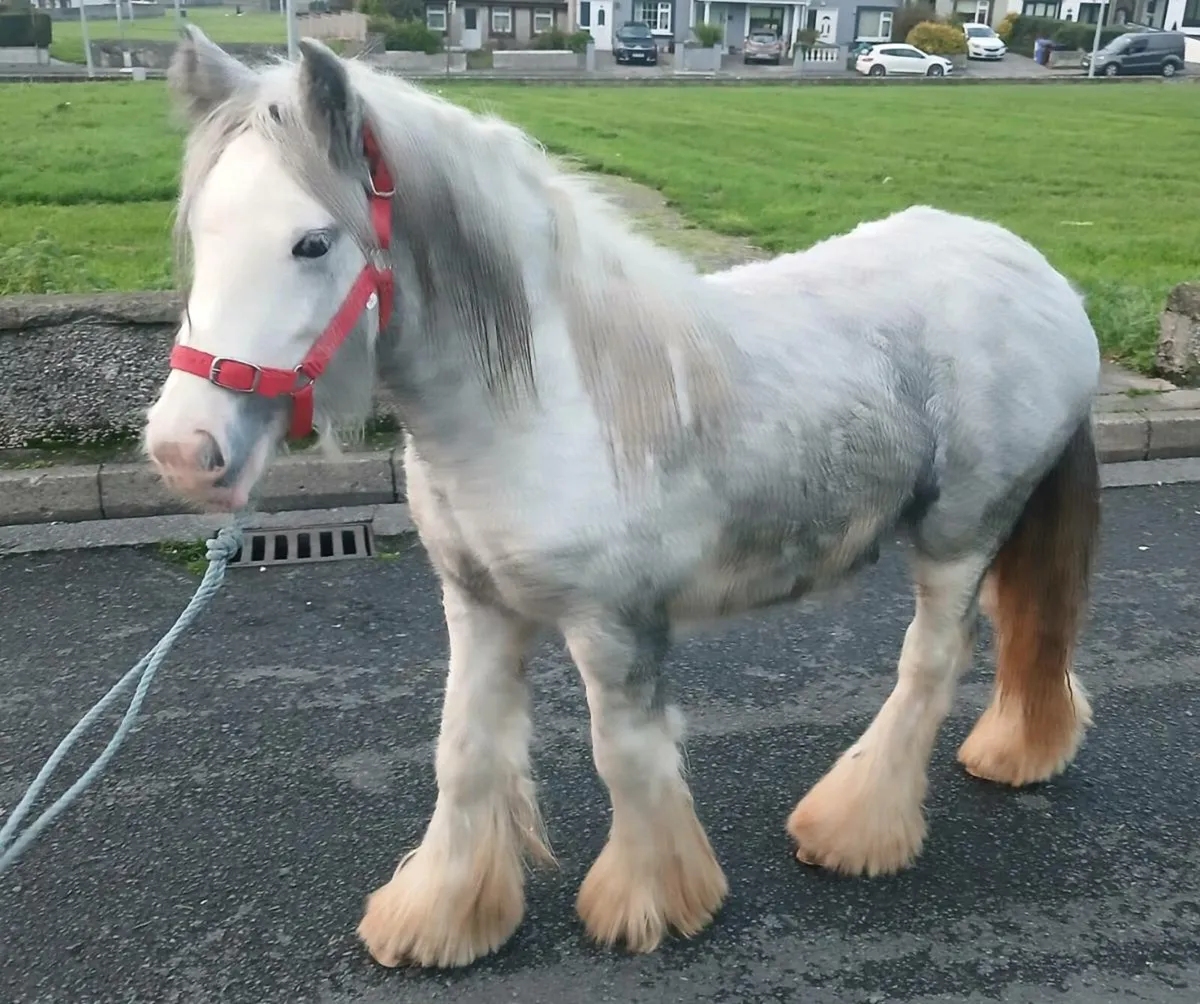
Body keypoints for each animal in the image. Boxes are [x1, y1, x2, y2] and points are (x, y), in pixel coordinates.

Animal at [144, 27, 1102, 971]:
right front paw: (443, 916)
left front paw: (654, 904)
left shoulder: (613, 623)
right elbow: (464, 750)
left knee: (932, 660)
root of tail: (1037, 272)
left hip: (958, 534)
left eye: (312, 242)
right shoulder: (478, 606)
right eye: (202, 230)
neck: (545, 400)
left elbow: (626, 756)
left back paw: (855, 828)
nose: (184, 451)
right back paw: (1013, 751)